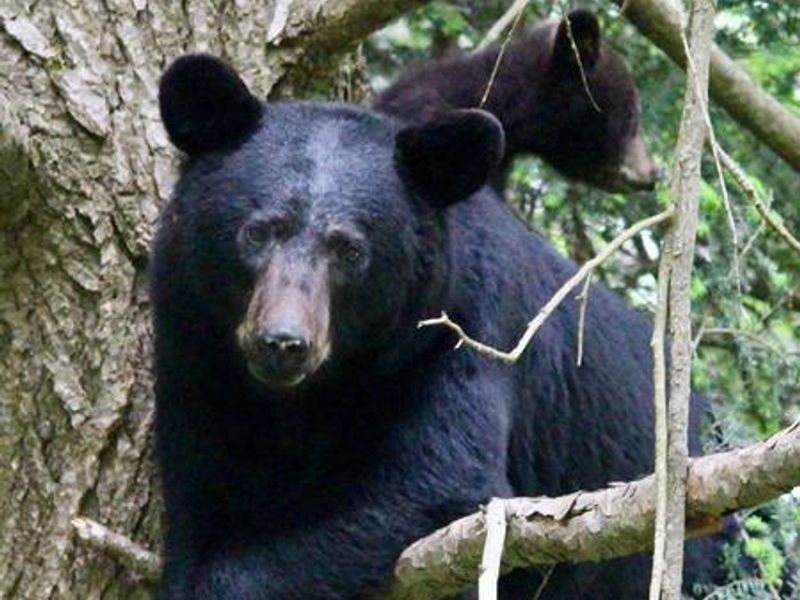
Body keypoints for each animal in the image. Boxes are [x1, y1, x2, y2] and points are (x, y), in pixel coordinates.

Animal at [152, 55, 718, 600]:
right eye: (257, 232)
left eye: (350, 250)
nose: (284, 343)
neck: (307, 396)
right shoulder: (193, 353)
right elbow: (201, 489)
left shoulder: (463, 331)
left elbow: (434, 482)